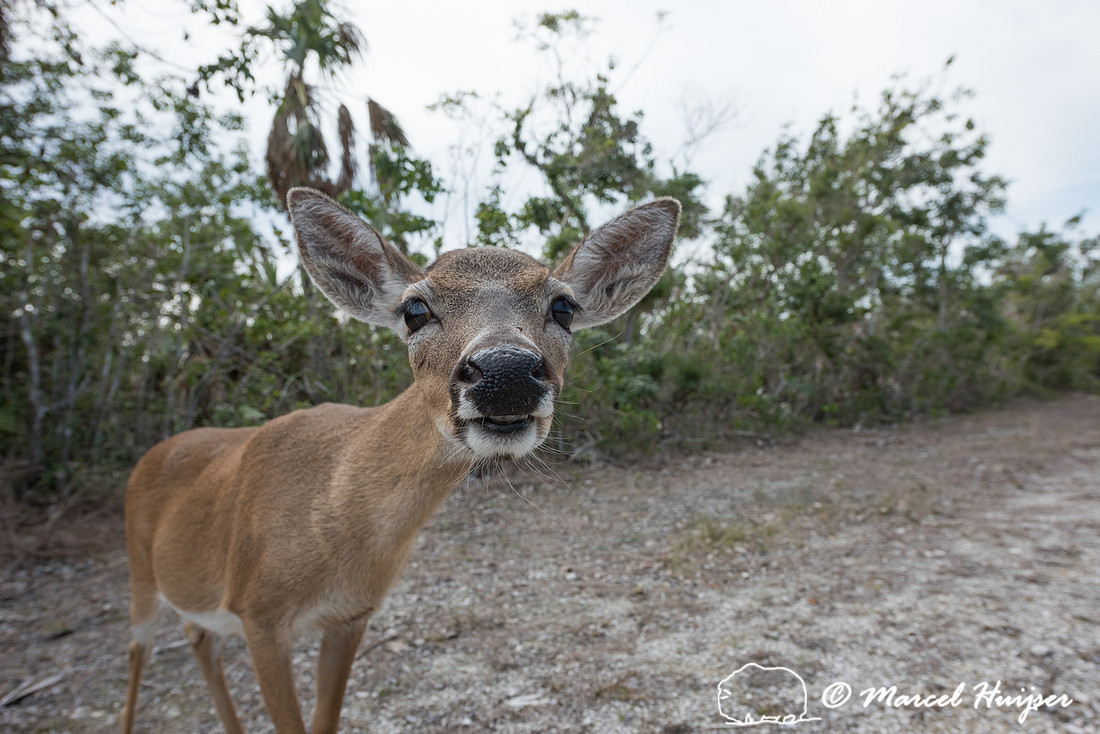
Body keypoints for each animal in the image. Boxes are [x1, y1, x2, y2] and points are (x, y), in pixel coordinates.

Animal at [120, 187, 680, 733]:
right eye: (415, 310)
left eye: (563, 307)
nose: (506, 371)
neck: (333, 522)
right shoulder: (260, 613)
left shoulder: (351, 616)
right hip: (142, 574)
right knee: (138, 646)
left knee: (197, 633)